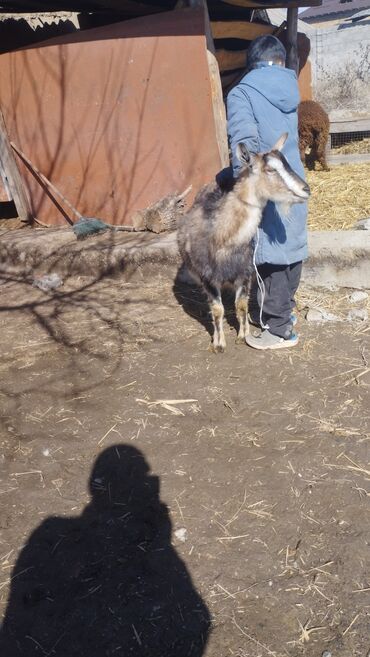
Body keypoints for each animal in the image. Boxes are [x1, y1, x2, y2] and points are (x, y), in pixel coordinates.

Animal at [178, 131, 310, 352]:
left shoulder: (245, 272)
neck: (225, 238)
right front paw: (219, 344)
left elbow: (241, 305)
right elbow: (218, 310)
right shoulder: (207, 277)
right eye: (270, 169)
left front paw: (243, 335)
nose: (306, 189)